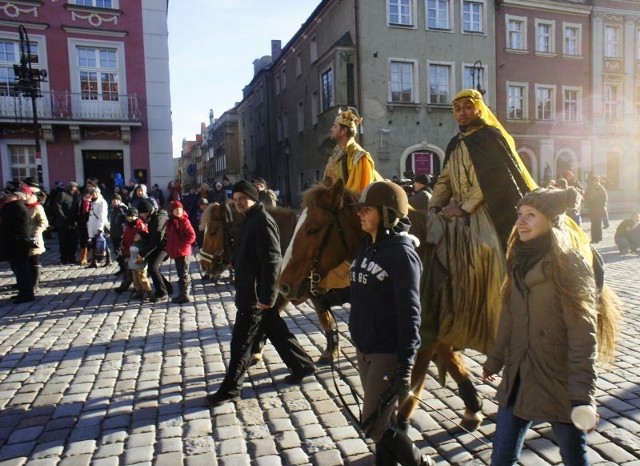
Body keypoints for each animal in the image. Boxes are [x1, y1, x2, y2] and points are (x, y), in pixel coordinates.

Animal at [278, 178, 482, 430]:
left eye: (313, 229)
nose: (283, 285)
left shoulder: (426, 331)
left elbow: (412, 384)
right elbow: (447, 358)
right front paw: (472, 406)